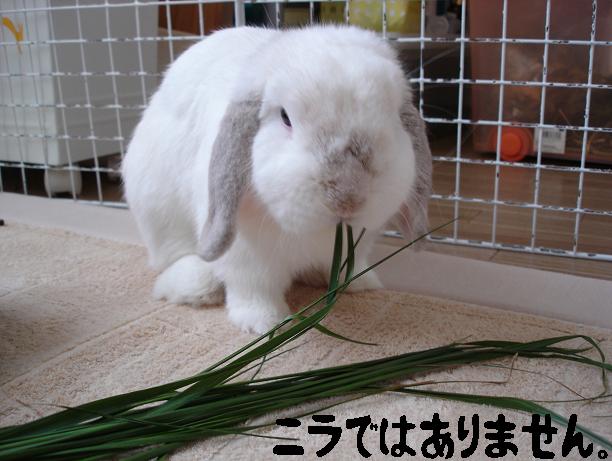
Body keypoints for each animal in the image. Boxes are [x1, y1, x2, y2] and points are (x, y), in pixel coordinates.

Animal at [122, 25, 432, 334]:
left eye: (394, 118)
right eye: (285, 117)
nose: (347, 198)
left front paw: (357, 283)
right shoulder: (247, 255)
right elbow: (254, 289)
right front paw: (266, 324)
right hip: (156, 209)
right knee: (169, 258)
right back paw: (194, 285)